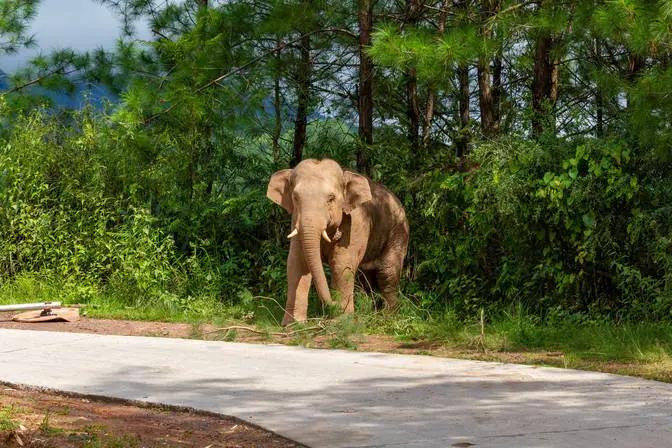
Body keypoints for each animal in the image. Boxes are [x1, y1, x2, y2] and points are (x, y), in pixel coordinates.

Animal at [266, 159, 406, 324]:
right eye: (295, 197)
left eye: (331, 198)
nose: (333, 304)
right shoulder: (295, 220)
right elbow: (297, 263)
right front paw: (293, 324)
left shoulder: (356, 222)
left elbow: (341, 264)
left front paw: (342, 321)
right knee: (365, 276)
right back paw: (370, 313)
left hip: (398, 231)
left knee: (387, 271)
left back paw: (388, 318)